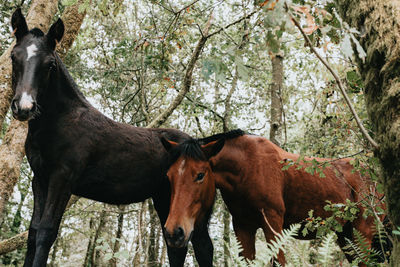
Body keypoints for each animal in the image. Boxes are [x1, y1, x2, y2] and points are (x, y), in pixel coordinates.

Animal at [9, 8, 214, 267]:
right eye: (13, 57)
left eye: (50, 64)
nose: (24, 107)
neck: (61, 121)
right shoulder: (40, 179)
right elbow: (33, 232)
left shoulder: (63, 178)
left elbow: (46, 232)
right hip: (165, 200)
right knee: (177, 246)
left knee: (203, 247)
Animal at [161, 130, 386, 266]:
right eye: (169, 176)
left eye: (200, 175)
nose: (174, 232)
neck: (247, 168)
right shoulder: (243, 227)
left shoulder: (273, 224)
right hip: (347, 236)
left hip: (363, 234)